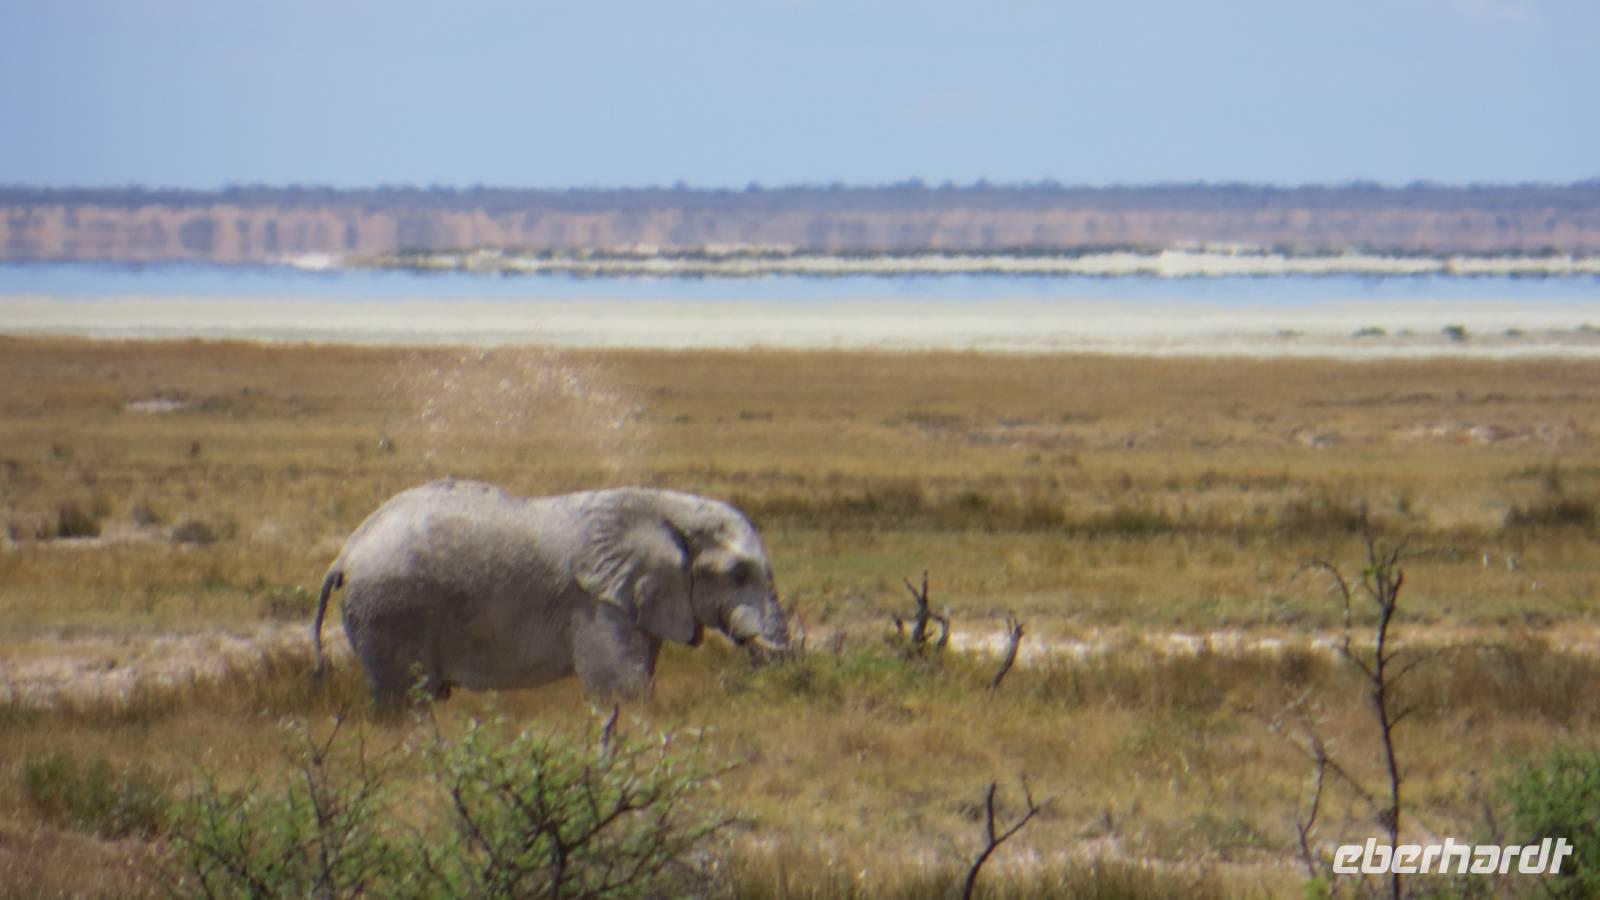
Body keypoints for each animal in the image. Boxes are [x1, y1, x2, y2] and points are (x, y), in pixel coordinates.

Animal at [311, 479, 789, 706]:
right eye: (738, 574)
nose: (763, 657)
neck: (668, 508)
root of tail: (346, 552)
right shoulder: (596, 602)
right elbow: (621, 688)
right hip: (389, 609)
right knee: (404, 701)